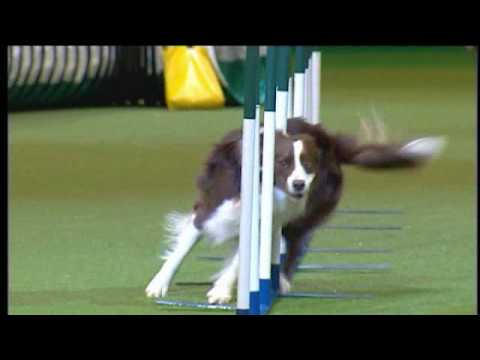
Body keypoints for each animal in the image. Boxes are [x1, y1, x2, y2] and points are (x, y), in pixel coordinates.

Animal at [145, 117, 446, 304]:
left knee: (294, 242)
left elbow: (241, 257)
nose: (300, 184)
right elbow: (181, 251)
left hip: (307, 211)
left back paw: (280, 281)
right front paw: (158, 285)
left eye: (308, 164)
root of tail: (329, 140)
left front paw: (221, 290)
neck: (257, 181)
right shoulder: (209, 208)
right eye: (283, 162)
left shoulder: (265, 221)